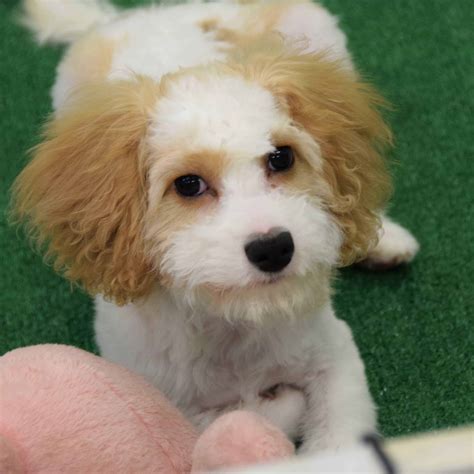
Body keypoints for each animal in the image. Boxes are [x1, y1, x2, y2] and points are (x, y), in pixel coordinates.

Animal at [12, 0, 418, 452]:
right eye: (188, 184)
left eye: (282, 157)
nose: (274, 248)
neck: (232, 324)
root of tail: (133, 18)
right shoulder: (163, 401)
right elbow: (242, 418)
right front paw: (278, 407)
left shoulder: (334, 355)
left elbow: (337, 442)